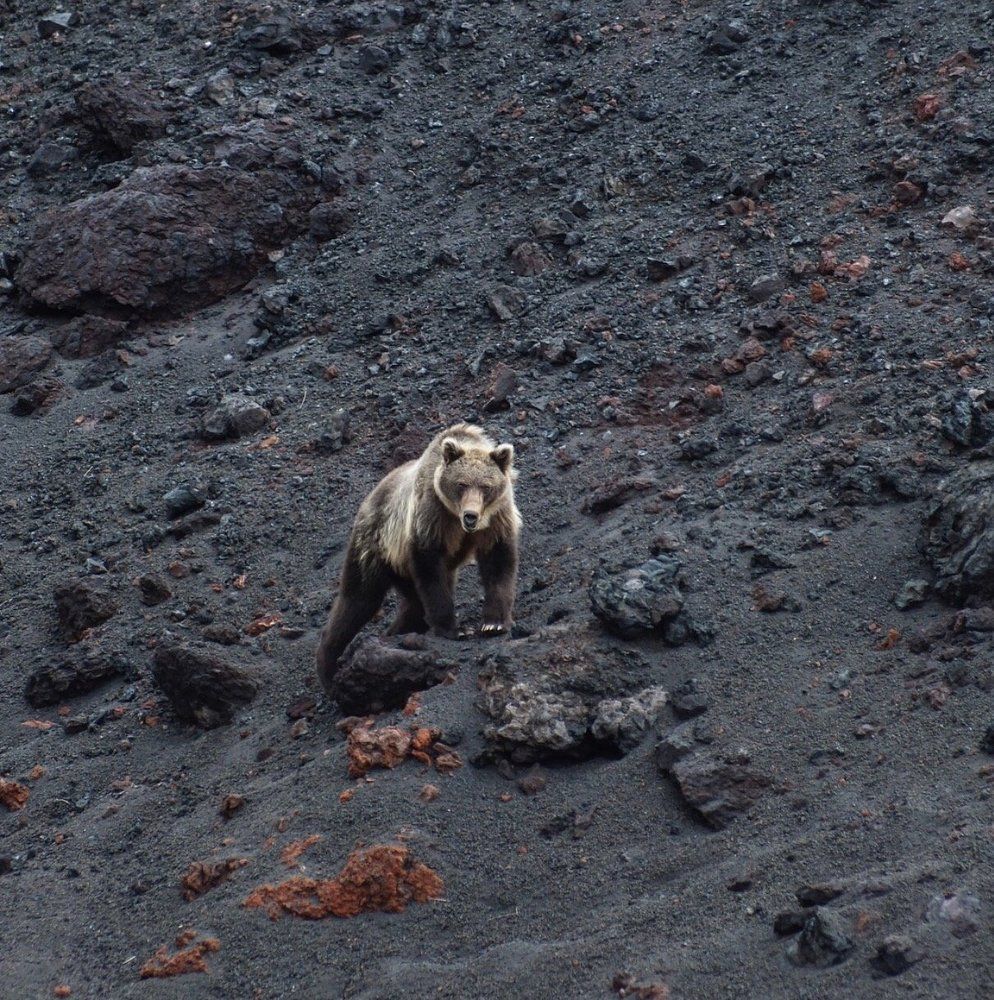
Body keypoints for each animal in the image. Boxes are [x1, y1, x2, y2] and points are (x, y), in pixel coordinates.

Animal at [316, 423, 521, 694]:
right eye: (461, 484)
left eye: (486, 486)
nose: (471, 516)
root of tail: (371, 495)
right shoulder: (431, 518)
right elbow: (430, 570)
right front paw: (453, 629)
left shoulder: (497, 520)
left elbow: (498, 563)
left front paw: (494, 623)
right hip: (376, 543)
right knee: (358, 598)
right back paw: (329, 666)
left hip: (399, 567)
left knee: (412, 605)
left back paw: (395, 633)